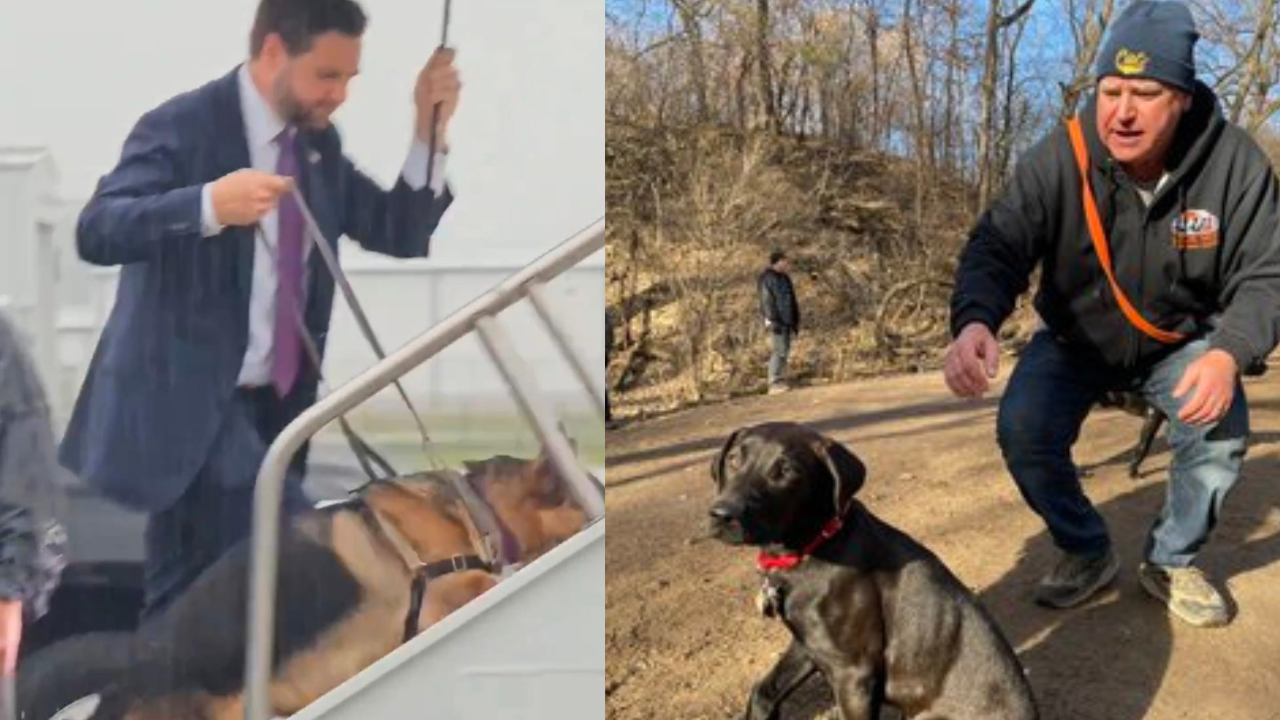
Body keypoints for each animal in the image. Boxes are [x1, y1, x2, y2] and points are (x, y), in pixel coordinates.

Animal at [711, 420, 1039, 717]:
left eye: (788, 471)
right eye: (733, 459)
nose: (722, 515)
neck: (813, 547)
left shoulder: (853, 673)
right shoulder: (807, 643)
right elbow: (764, 690)